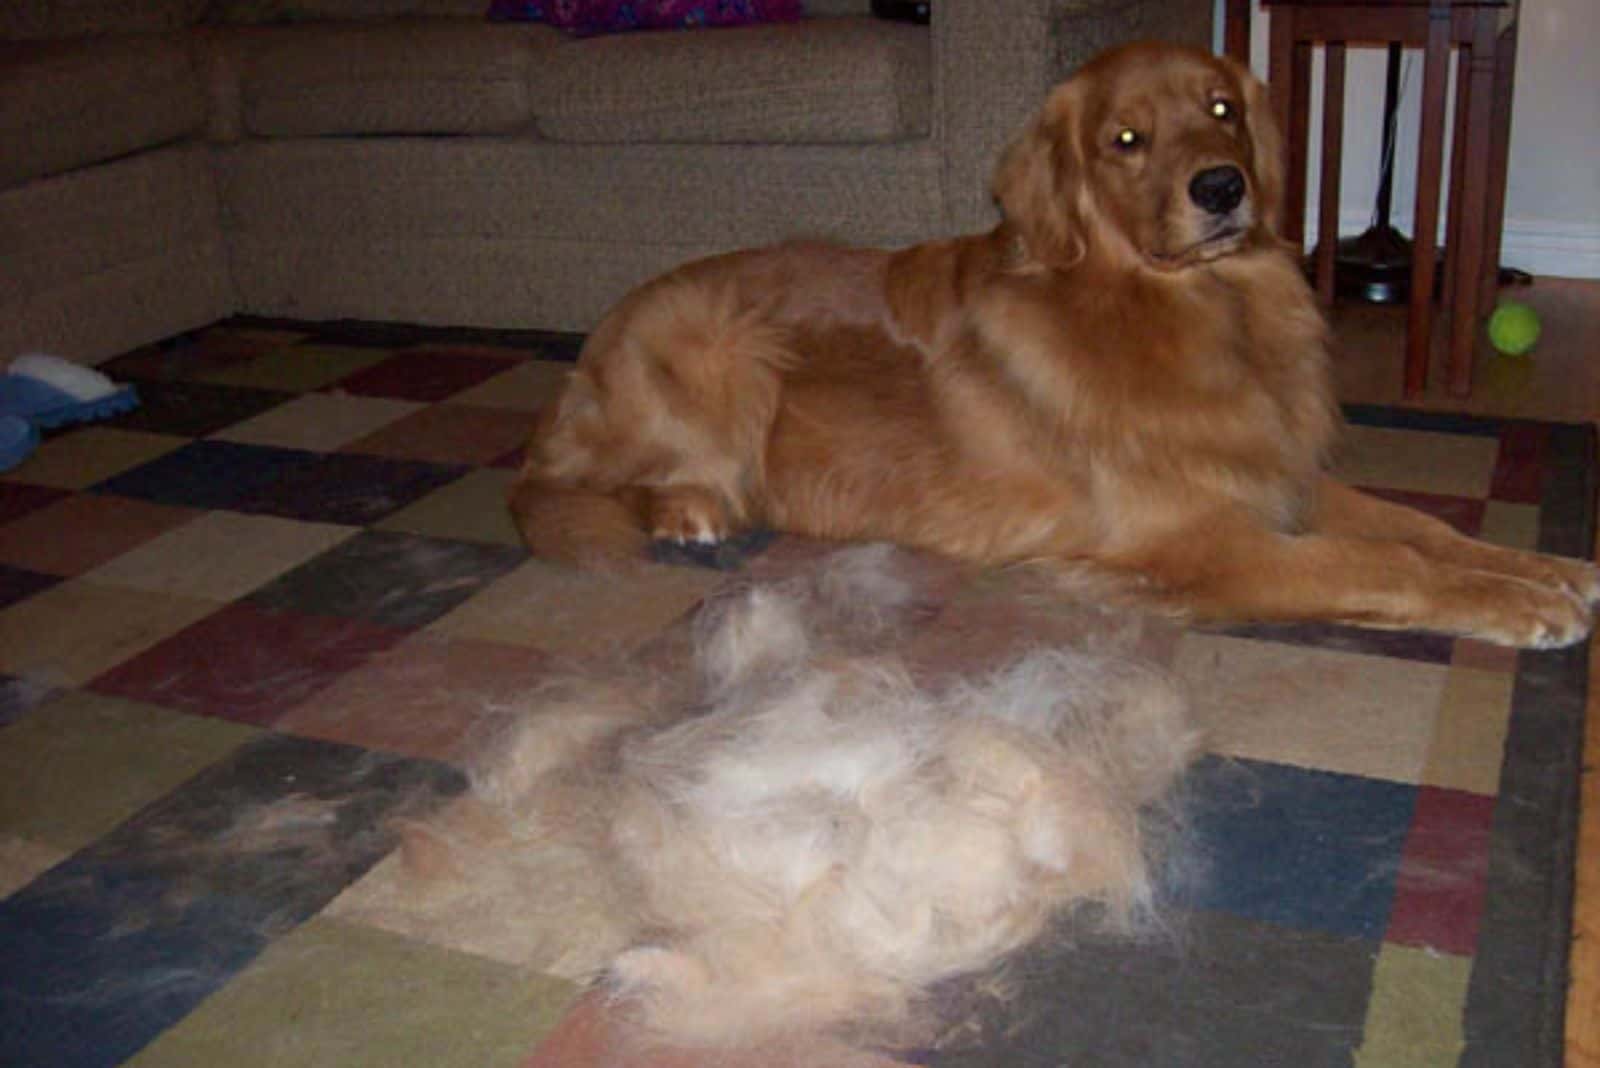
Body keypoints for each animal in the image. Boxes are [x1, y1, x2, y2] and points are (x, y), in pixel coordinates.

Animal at [512, 41, 1600, 645]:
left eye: (1221, 109)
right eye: (1125, 140)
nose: (1221, 187)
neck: (1197, 313)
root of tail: (589, 351)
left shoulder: (1275, 476)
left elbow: (1421, 527)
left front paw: (1547, 568)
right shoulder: (1201, 540)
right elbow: (1381, 565)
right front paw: (1517, 606)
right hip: (723, 351)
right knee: (567, 485)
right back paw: (683, 508)